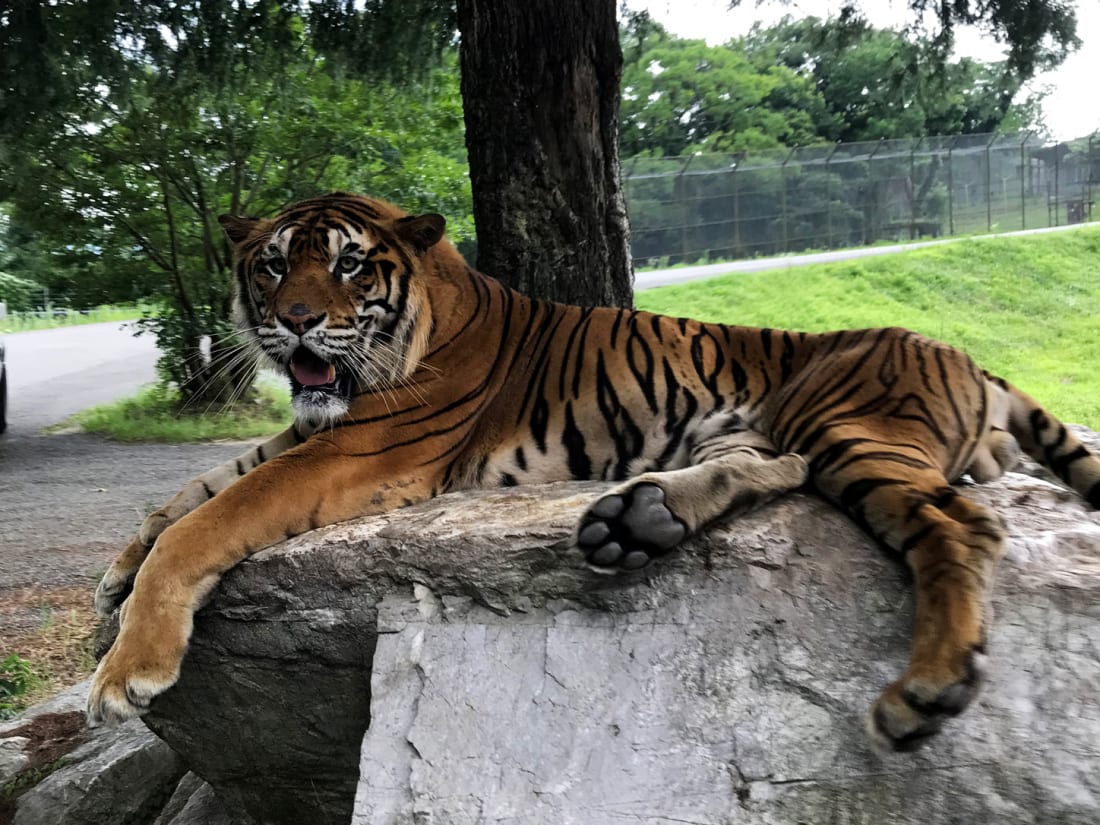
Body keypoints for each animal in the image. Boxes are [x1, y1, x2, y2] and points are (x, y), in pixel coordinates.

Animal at [90, 192, 1100, 756]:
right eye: (269, 267)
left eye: (346, 266)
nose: (295, 322)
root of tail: (965, 354)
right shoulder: (317, 432)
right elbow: (195, 489)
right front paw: (116, 572)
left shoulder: (361, 449)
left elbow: (211, 517)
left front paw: (126, 669)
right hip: (751, 428)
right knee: (775, 466)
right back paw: (636, 522)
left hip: (846, 420)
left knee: (962, 522)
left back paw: (927, 689)